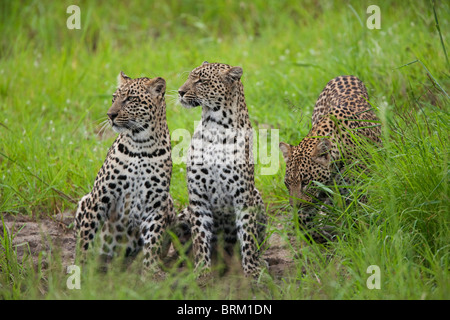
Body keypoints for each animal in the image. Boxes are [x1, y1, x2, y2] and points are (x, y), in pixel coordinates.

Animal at [74, 71, 174, 272]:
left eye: (130, 99)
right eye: (114, 98)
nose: (110, 114)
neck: (141, 146)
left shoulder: (156, 206)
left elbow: (153, 241)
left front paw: (150, 271)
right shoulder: (99, 198)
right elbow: (86, 238)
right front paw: (81, 267)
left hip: (170, 203)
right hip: (85, 200)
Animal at [176, 62, 268, 278]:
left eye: (201, 81)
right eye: (190, 77)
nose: (180, 92)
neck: (215, 127)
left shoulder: (243, 198)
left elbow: (248, 239)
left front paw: (252, 271)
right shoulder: (198, 199)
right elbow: (200, 237)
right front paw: (202, 272)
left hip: (256, 197)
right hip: (183, 214)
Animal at [280, 74, 382, 240]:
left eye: (306, 182)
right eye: (287, 183)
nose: (294, 206)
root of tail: (346, 75)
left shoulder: (358, 190)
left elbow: (358, 216)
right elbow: (303, 221)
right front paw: (318, 235)